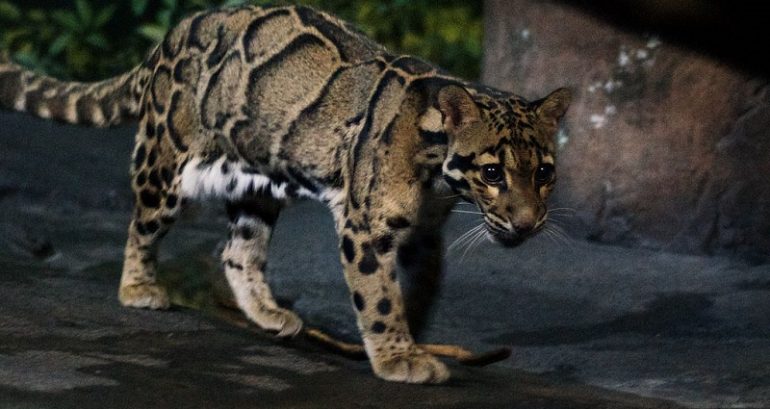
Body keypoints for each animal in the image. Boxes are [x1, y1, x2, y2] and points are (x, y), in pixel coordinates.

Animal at [0, 5, 570, 384]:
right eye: (492, 172)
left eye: (544, 173)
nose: (527, 224)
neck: (435, 173)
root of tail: (172, 35)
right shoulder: (366, 227)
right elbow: (379, 294)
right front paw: (396, 354)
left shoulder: (423, 234)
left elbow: (419, 288)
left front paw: (412, 337)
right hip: (166, 160)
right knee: (142, 225)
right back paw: (139, 287)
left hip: (254, 184)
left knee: (237, 252)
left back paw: (267, 311)